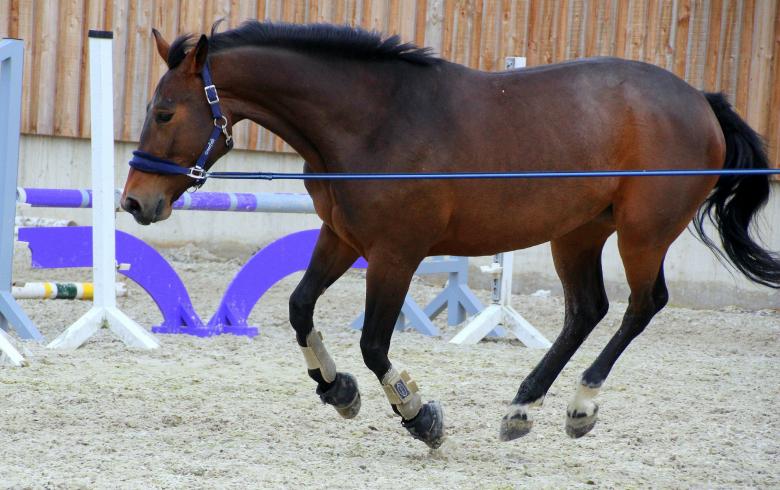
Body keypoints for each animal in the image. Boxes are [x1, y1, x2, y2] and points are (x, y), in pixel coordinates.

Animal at [121, 21, 780, 449]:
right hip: (578, 233)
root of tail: (701, 100)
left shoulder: (395, 254)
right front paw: (338, 390)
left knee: (642, 306)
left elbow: (375, 344)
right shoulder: (342, 238)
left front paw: (419, 417)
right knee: (587, 310)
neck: (375, 122)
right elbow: (300, 307)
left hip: (641, 234)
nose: (134, 201)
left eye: (165, 113)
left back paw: (581, 404)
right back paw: (522, 407)